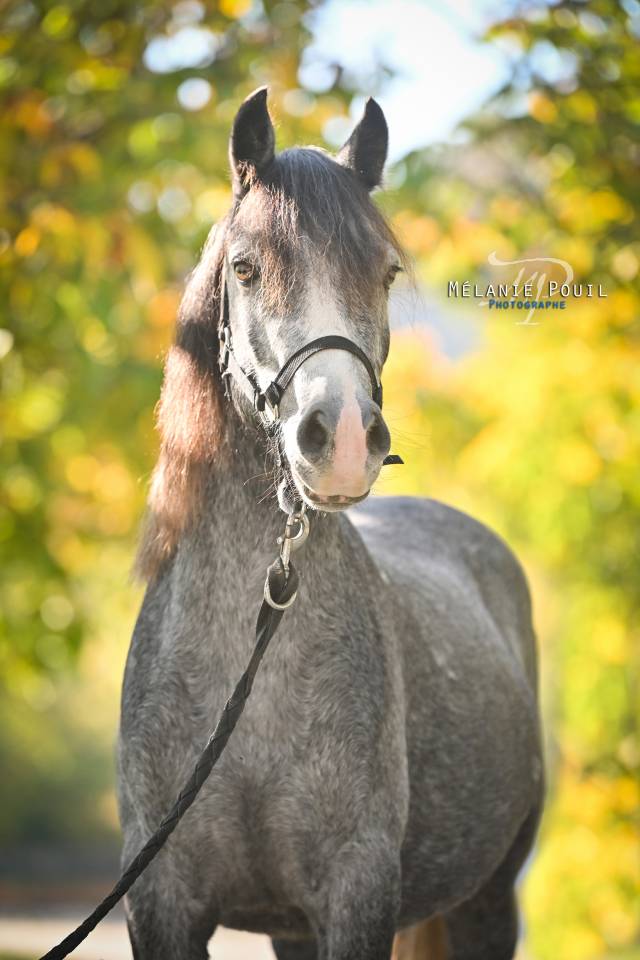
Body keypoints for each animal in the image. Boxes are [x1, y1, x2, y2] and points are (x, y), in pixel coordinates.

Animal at [118, 88, 544, 960]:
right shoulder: (164, 906)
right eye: (245, 268)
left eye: (384, 273)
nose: (343, 440)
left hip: (488, 902)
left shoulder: (355, 899)